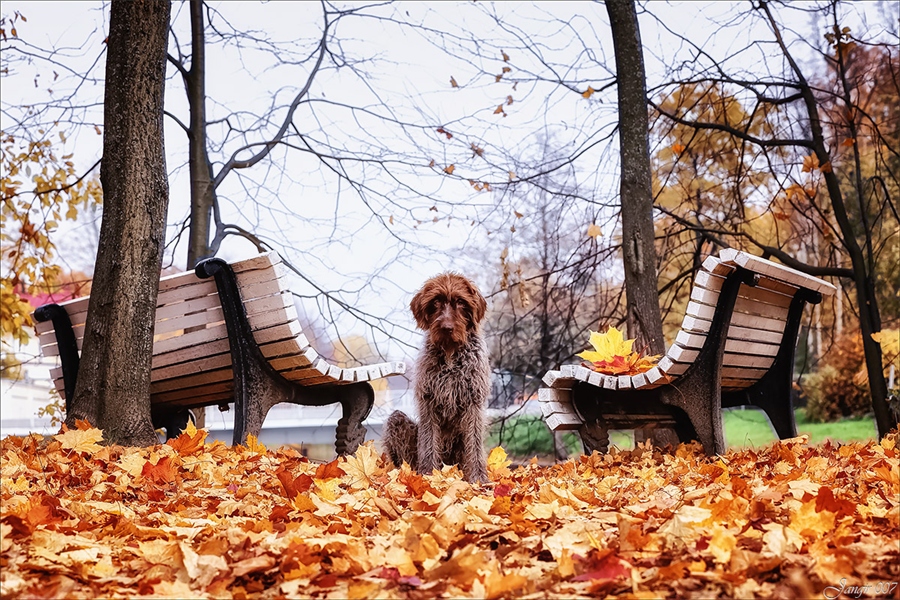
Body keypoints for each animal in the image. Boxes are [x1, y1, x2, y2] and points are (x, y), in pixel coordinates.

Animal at [382, 272, 492, 482]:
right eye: (435, 302)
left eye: (461, 302)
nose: (447, 328)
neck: (450, 355)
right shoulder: (428, 402)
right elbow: (428, 442)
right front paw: (428, 476)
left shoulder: (473, 403)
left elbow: (474, 444)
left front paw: (478, 479)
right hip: (397, 422)